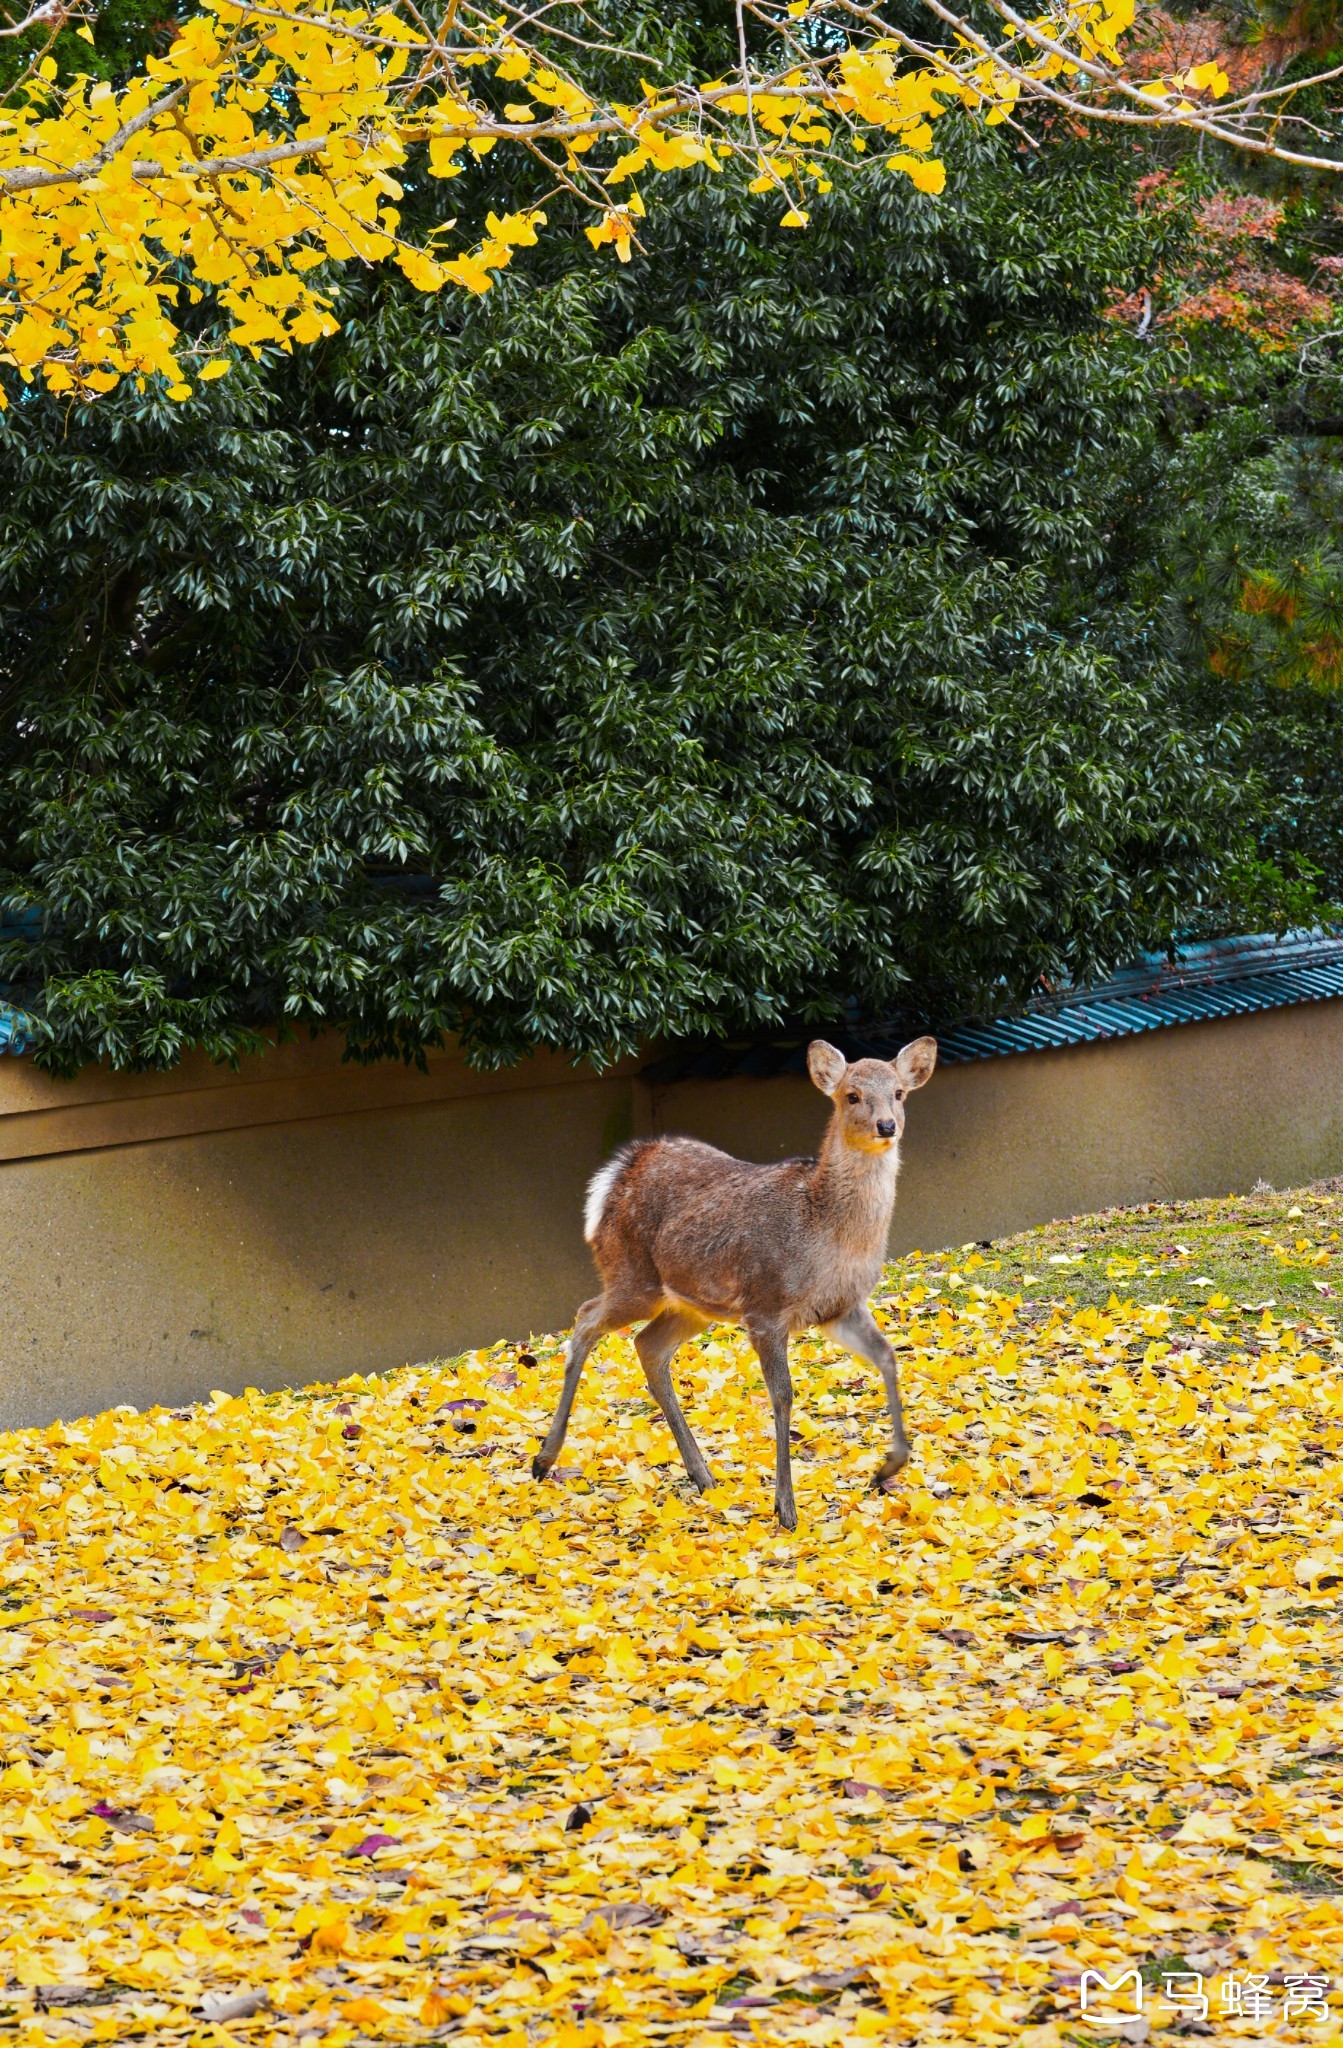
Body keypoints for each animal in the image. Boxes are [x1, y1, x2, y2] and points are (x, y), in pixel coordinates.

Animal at [528, 1032, 937, 1531]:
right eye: (851, 1095)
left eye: (899, 1092)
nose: (886, 1125)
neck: (829, 1237)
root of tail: (614, 1176)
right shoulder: (766, 1306)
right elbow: (783, 1395)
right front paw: (786, 1508)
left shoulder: (839, 1308)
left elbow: (887, 1356)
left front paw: (888, 1467)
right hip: (632, 1276)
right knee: (586, 1318)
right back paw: (544, 1460)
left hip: (691, 1305)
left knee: (647, 1345)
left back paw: (702, 1475)